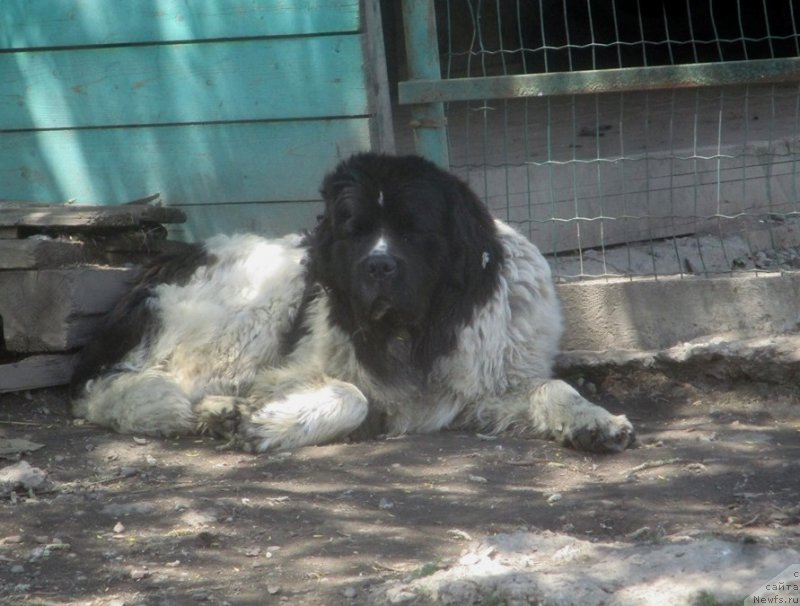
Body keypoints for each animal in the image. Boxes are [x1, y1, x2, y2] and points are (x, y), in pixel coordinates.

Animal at [72, 154, 636, 454]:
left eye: (414, 231)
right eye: (355, 232)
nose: (378, 267)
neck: (420, 330)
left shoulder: (491, 384)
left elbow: (552, 386)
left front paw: (595, 421)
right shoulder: (295, 369)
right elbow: (353, 393)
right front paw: (267, 423)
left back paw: (217, 412)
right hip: (260, 300)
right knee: (114, 389)